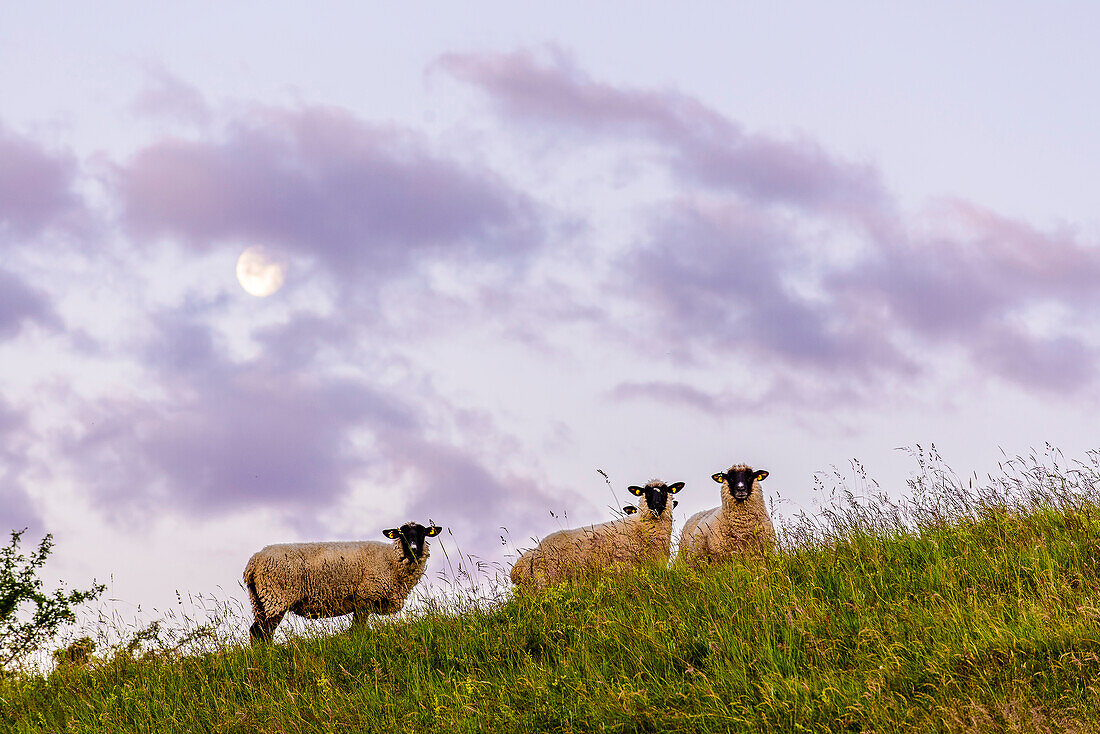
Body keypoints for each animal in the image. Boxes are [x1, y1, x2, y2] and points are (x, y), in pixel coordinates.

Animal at [245, 521, 442, 642]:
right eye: (402, 534)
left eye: (423, 533)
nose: (414, 549)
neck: (391, 559)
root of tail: (254, 561)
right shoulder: (365, 596)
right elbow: (358, 629)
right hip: (276, 597)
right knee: (261, 632)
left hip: (260, 600)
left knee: (258, 632)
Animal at [510, 479, 682, 594]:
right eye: (646, 492)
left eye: (665, 491)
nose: (656, 506)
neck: (639, 527)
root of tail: (536, 551)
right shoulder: (623, 567)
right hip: (547, 580)